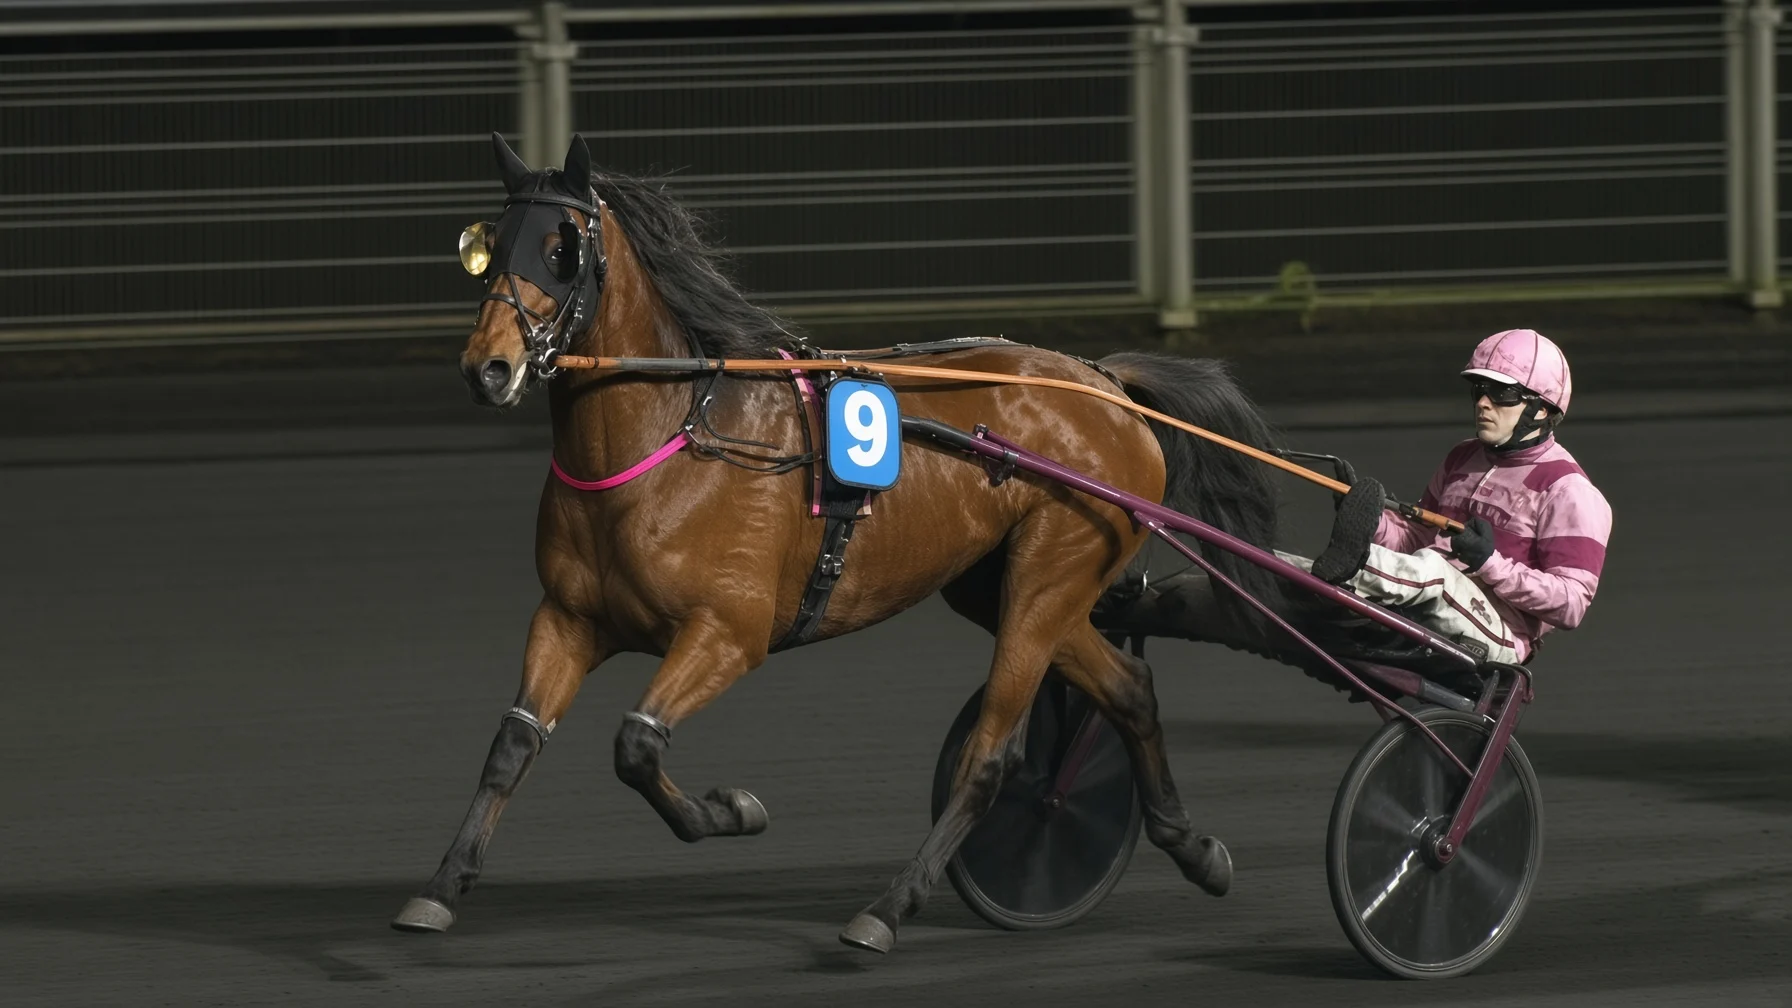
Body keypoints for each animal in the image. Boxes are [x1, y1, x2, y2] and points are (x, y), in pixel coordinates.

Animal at [391, 133, 1283, 954]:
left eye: (561, 251)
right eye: (485, 247)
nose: (488, 367)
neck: (675, 440)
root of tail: (1106, 384)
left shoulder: (728, 632)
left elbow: (637, 746)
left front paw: (731, 810)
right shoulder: (569, 619)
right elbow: (513, 742)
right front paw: (439, 886)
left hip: (1050, 576)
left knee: (991, 757)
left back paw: (887, 909)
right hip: (1009, 589)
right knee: (1130, 689)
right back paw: (1193, 849)